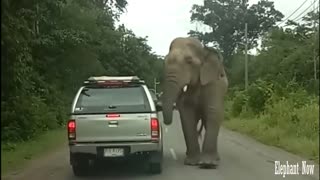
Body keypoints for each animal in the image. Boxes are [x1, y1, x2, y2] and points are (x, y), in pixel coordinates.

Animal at [161, 36, 229, 169]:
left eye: (189, 61)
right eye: (165, 61)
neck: (204, 51)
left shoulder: (214, 85)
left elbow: (213, 111)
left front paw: (208, 164)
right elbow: (187, 114)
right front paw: (192, 163)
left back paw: (216, 158)